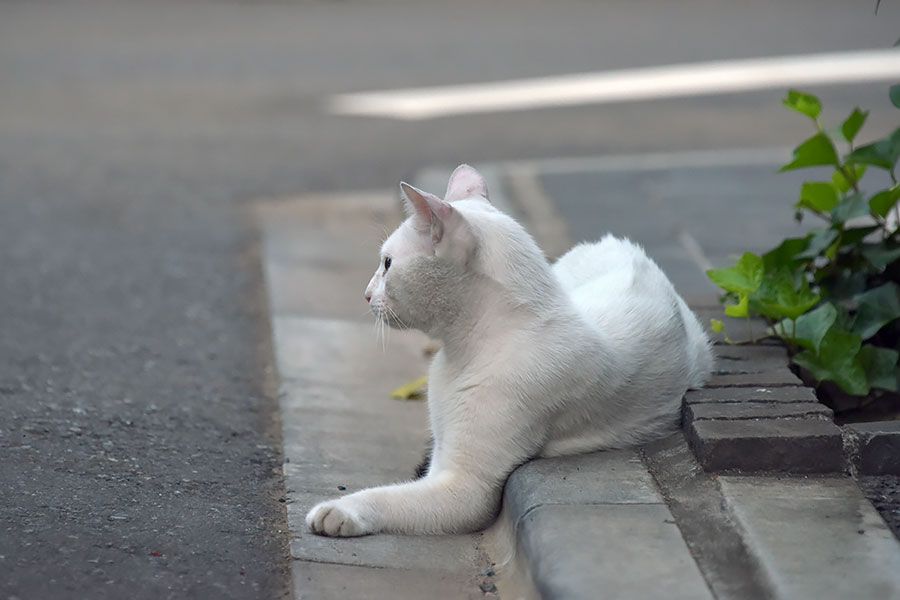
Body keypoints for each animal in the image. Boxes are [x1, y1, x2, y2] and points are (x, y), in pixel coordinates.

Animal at [306, 165, 712, 540]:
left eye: (387, 264)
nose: (366, 294)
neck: (461, 353)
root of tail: (627, 247)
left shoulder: (465, 486)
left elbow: (392, 497)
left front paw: (340, 510)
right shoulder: (441, 453)